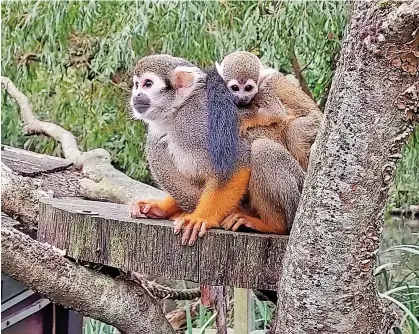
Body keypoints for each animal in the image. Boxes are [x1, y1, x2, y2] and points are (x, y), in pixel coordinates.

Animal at [130, 54, 304, 243]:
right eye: (136, 84)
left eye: (147, 84)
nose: (136, 95)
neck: (177, 114)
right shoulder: (157, 138)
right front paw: (161, 207)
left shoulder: (200, 123)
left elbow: (235, 163)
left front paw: (201, 218)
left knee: (263, 149)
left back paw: (272, 225)